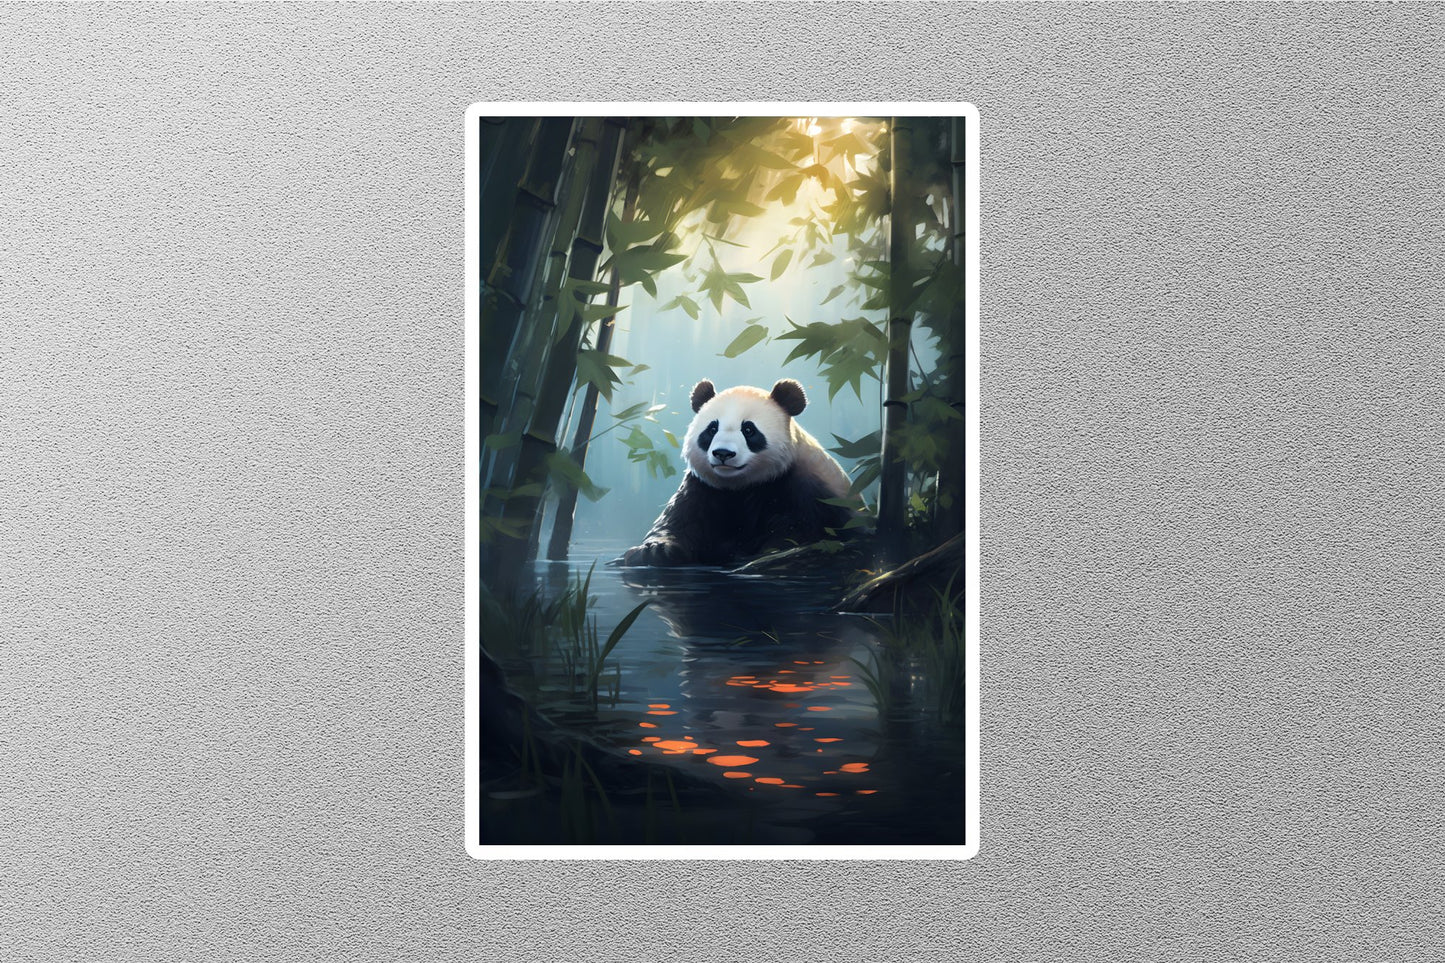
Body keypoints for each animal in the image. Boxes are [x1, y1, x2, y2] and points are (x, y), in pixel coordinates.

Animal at [619, 378, 855, 567]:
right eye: (712, 429)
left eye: (748, 430)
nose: (723, 453)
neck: (741, 486)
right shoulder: (701, 488)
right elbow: (677, 523)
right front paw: (654, 551)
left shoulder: (803, 489)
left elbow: (800, 531)